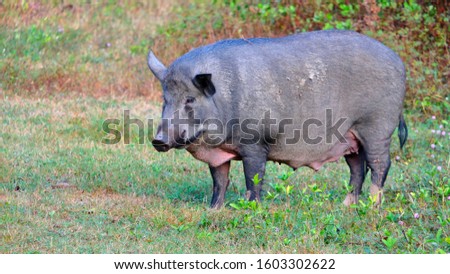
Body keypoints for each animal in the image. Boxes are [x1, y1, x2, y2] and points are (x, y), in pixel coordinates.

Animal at [148, 30, 408, 209]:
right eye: (165, 99)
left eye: (190, 99)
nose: (158, 140)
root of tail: (399, 61)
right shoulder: (219, 153)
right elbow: (220, 180)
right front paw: (213, 210)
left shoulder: (255, 143)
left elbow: (253, 178)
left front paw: (250, 209)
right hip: (349, 137)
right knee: (357, 167)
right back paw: (345, 207)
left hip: (378, 126)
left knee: (380, 165)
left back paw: (372, 207)